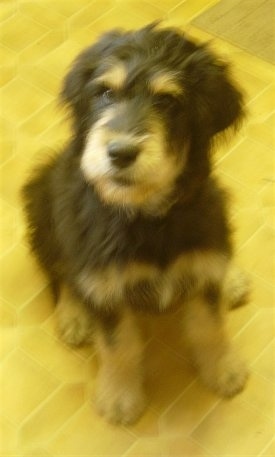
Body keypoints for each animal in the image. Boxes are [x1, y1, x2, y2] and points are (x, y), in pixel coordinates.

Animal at [22, 24, 250, 424]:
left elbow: (209, 326)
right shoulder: (106, 283)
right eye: (106, 92)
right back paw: (74, 314)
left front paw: (224, 370)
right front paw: (118, 397)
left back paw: (232, 278)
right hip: (43, 204)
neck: (148, 216)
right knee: (60, 271)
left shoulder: (203, 261)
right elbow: (119, 345)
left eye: (168, 101)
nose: (120, 153)